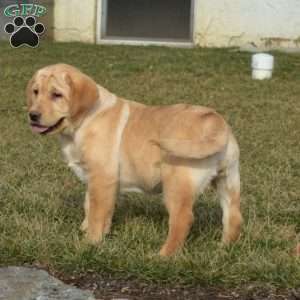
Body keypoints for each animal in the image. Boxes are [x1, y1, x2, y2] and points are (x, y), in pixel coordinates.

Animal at [27, 63, 243, 255]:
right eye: (36, 92)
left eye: (57, 95)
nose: (32, 115)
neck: (84, 120)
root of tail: (215, 120)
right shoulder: (96, 181)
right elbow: (93, 207)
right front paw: (91, 232)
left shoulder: (101, 177)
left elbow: (96, 212)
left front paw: (90, 242)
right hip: (228, 179)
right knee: (233, 216)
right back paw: (224, 248)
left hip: (177, 183)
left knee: (183, 219)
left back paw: (164, 256)